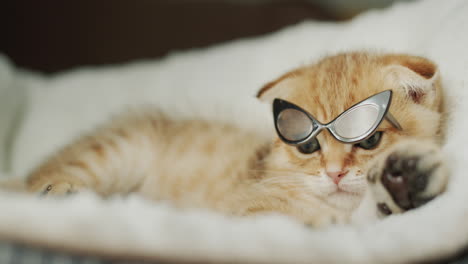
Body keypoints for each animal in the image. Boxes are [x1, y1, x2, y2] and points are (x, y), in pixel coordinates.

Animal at [19, 51, 450, 227]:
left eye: (371, 140)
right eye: (308, 146)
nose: (335, 173)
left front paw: (407, 178)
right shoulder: (249, 213)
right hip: (114, 153)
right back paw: (59, 192)